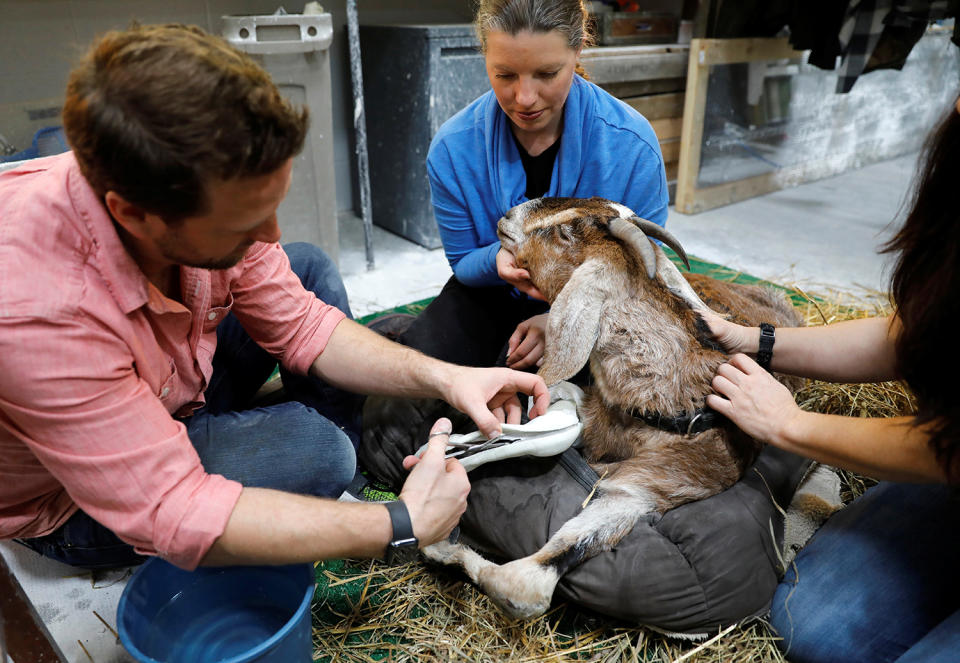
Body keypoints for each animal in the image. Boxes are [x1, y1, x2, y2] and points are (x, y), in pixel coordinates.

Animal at [420, 197, 804, 624]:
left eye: (564, 232)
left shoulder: (643, 491)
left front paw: (437, 525)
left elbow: (523, 586)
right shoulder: (591, 408)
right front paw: (449, 453)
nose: (508, 216)